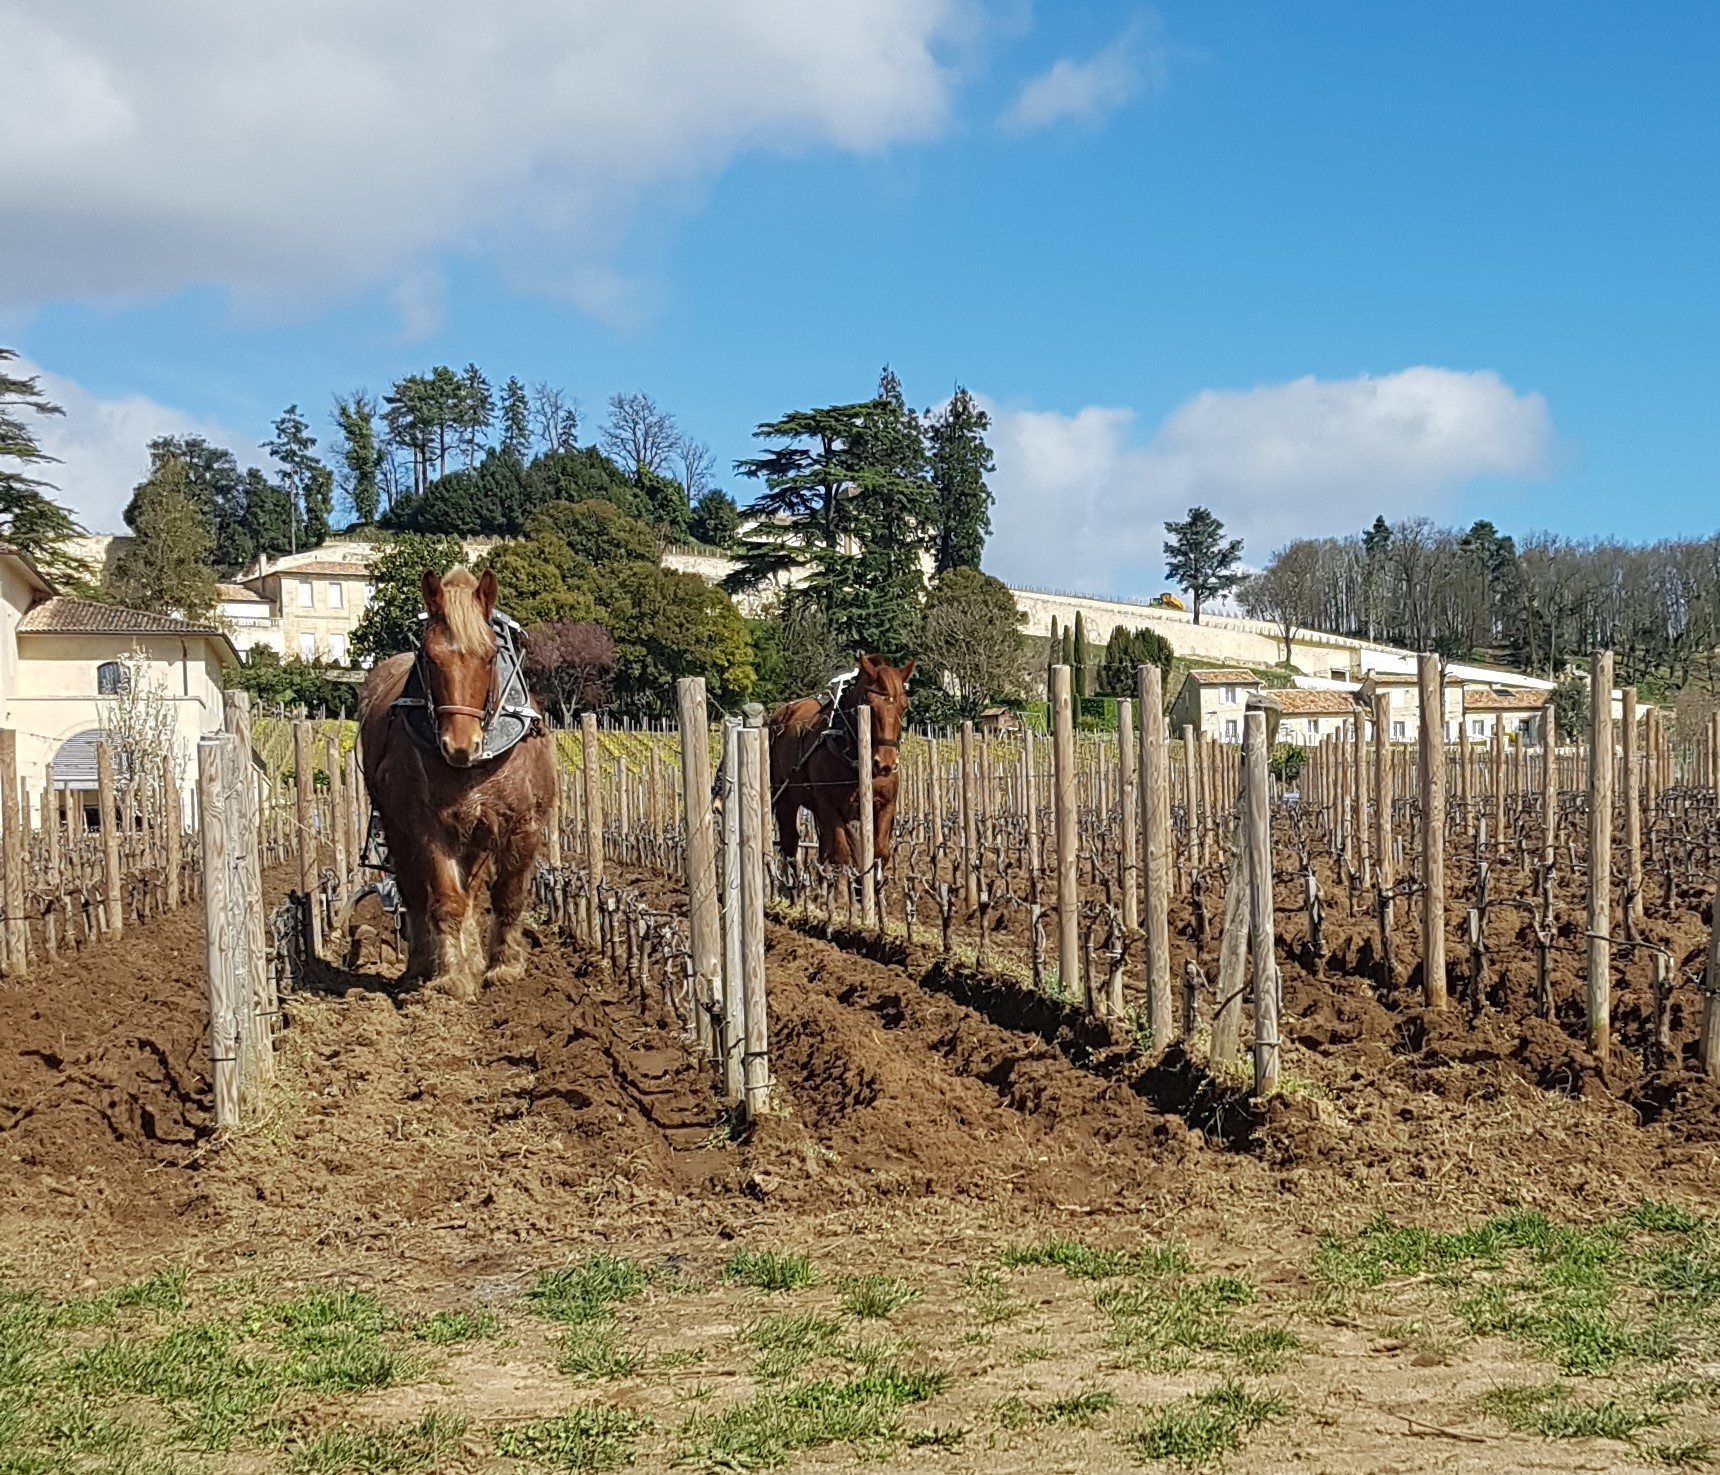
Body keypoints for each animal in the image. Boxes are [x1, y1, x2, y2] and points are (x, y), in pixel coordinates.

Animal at [359, 570, 553, 997]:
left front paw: (504, 967)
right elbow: (446, 899)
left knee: (474, 891)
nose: (460, 746)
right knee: (417, 894)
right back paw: (422, 965)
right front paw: (452, 976)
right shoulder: (429, 827)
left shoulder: (523, 824)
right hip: (398, 829)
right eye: (431, 658)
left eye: (489, 655)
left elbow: (508, 896)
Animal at [767, 653, 915, 866]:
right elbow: (841, 855)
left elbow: (879, 853)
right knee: (790, 843)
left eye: (904, 707)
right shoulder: (829, 807)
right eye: (869, 704)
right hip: (785, 797)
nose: (885, 763)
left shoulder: (886, 804)